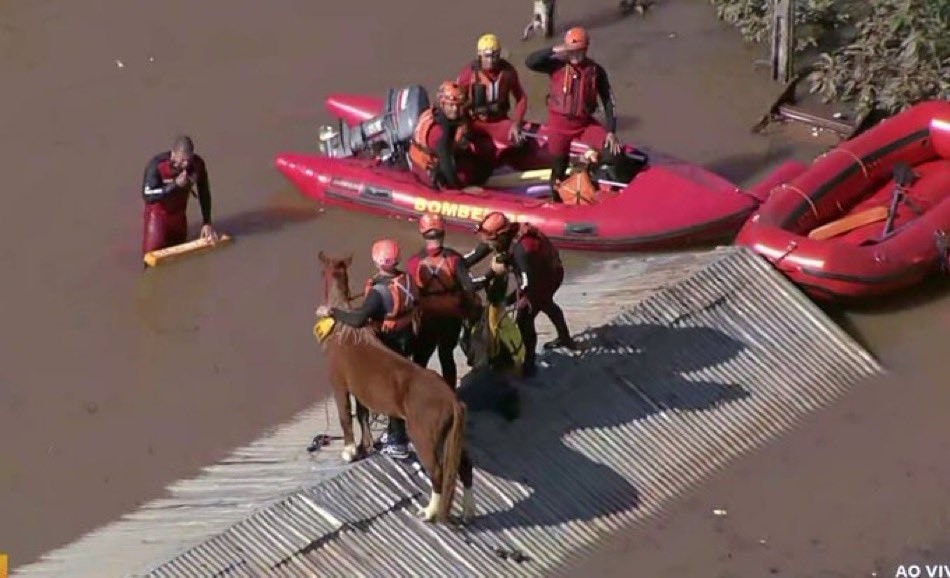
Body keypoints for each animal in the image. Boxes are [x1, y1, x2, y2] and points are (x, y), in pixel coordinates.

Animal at [316, 250, 476, 520]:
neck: (343, 331)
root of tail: (452, 400)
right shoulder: (361, 391)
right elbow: (362, 415)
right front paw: (366, 445)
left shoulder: (340, 385)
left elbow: (345, 417)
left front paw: (349, 450)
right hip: (451, 438)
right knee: (464, 465)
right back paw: (468, 509)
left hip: (424, 437)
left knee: (438, 473)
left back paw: (430, 512)